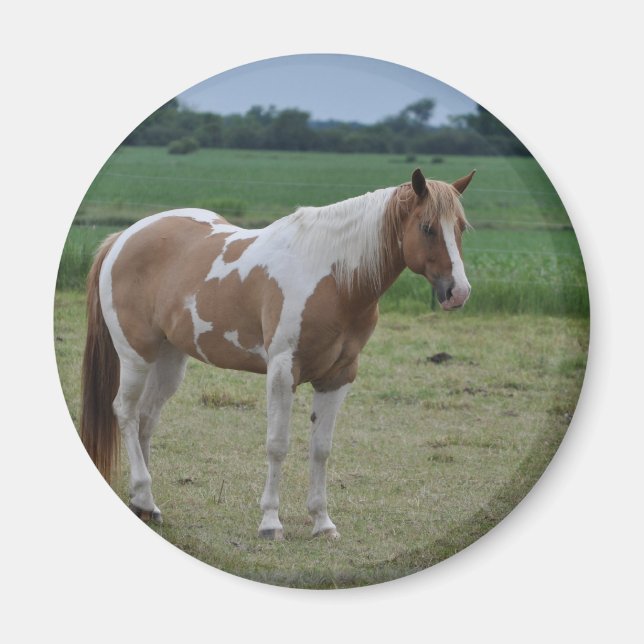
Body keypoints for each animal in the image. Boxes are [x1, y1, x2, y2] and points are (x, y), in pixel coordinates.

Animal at [80, 167, 474, 540]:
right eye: (427, 228)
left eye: (460, 228)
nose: (458, 292)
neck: (332, 277)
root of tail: (123, 239)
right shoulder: (284, 369)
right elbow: (278, 444)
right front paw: (270, 522)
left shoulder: (339, 376)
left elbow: (321, 448)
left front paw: (322, 523)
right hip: (136, 355)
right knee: (127, 413)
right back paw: (144, 492)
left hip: (170, 358)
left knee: (147, 419)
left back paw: (144, 505)